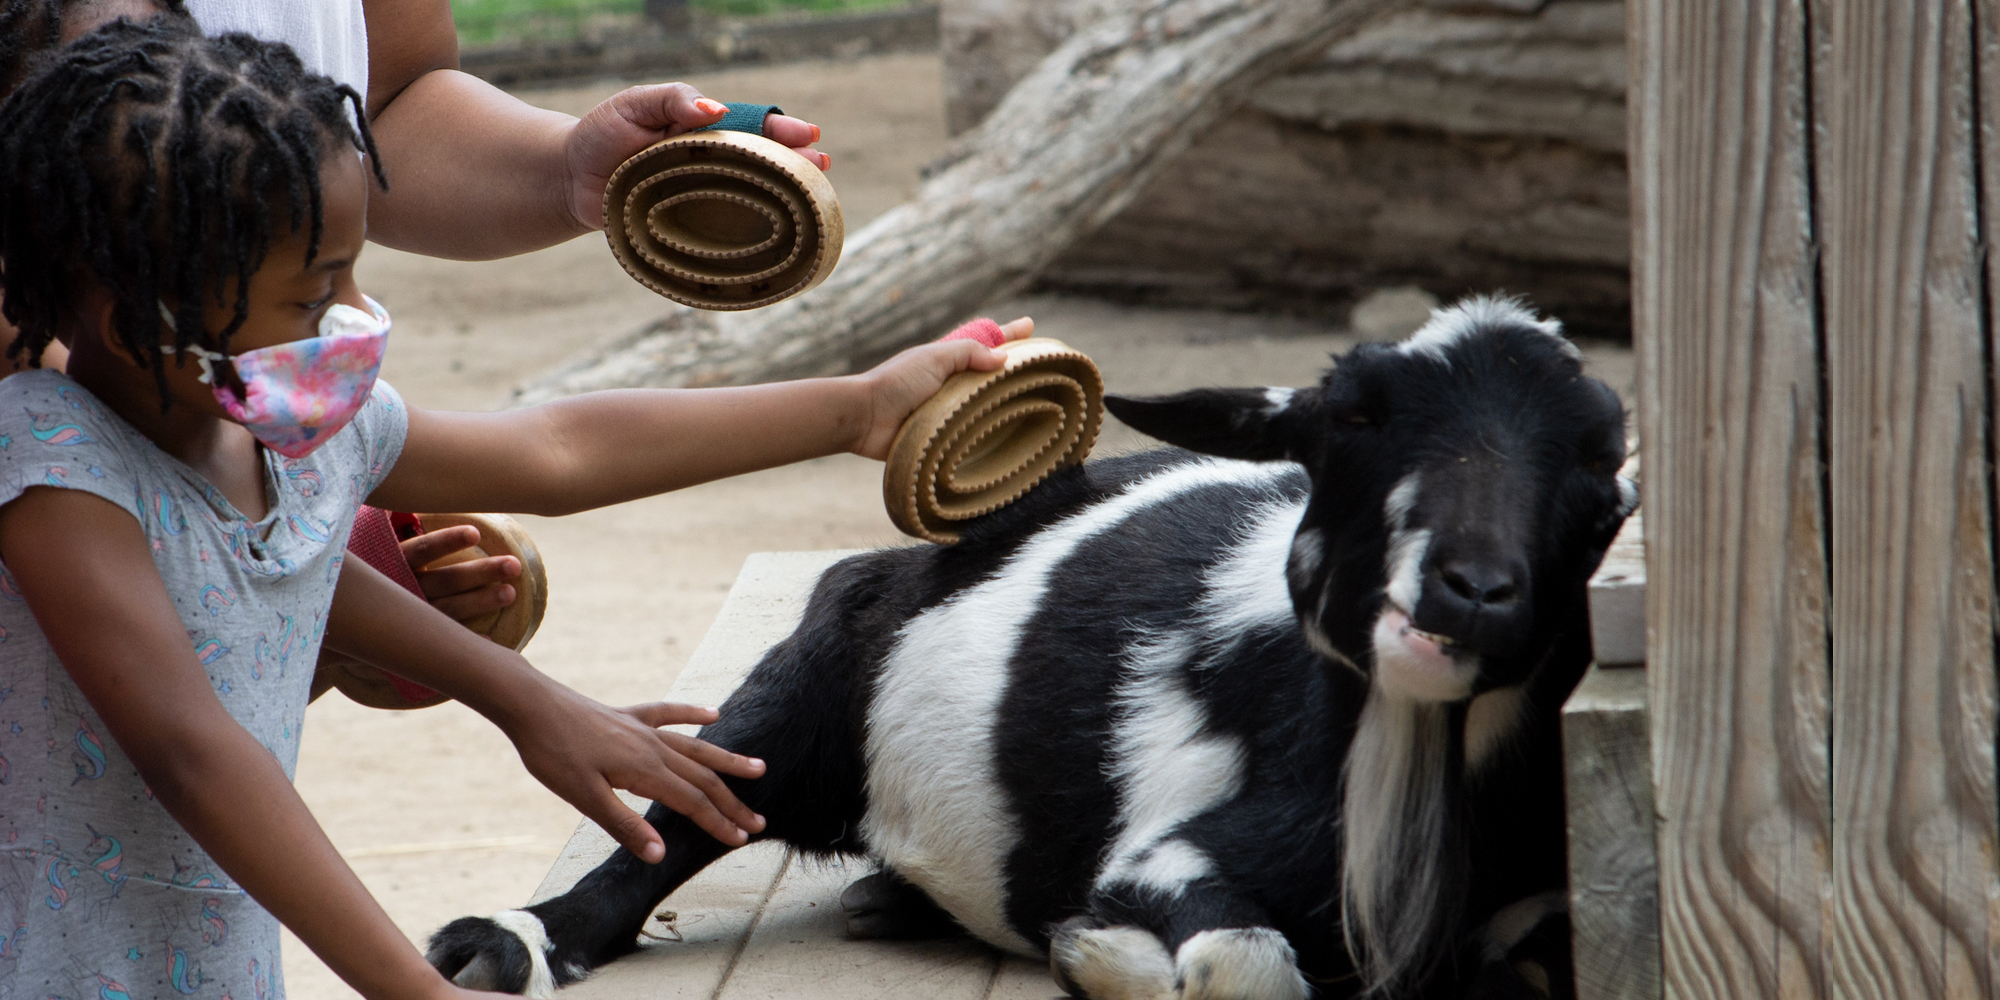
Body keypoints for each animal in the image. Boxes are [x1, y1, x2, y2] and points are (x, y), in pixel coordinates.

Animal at [430, 298, 1632, 1000]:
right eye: (1349, 420)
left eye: (1599, 455)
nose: (1473, 592)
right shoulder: (1166, 860)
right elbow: (1237, 967)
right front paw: (1095, 957)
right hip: (810, 678)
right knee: (693, 805)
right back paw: (507, 942)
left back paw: (889, 900)